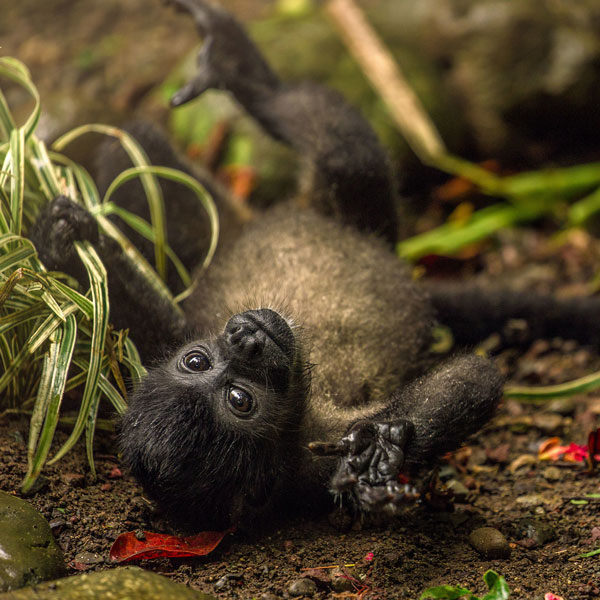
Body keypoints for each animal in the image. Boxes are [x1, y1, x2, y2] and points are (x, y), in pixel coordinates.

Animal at [30, 0, 516, 528]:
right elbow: (472, 378)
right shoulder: (312, 459)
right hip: (362, 210)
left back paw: (243, 73)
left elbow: (132, 320)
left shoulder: (160, 343)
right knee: (348, 151)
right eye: (239, 400)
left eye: (195, 360)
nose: (247, 338)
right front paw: (381, 449)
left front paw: (61, 244)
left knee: (132, 147)